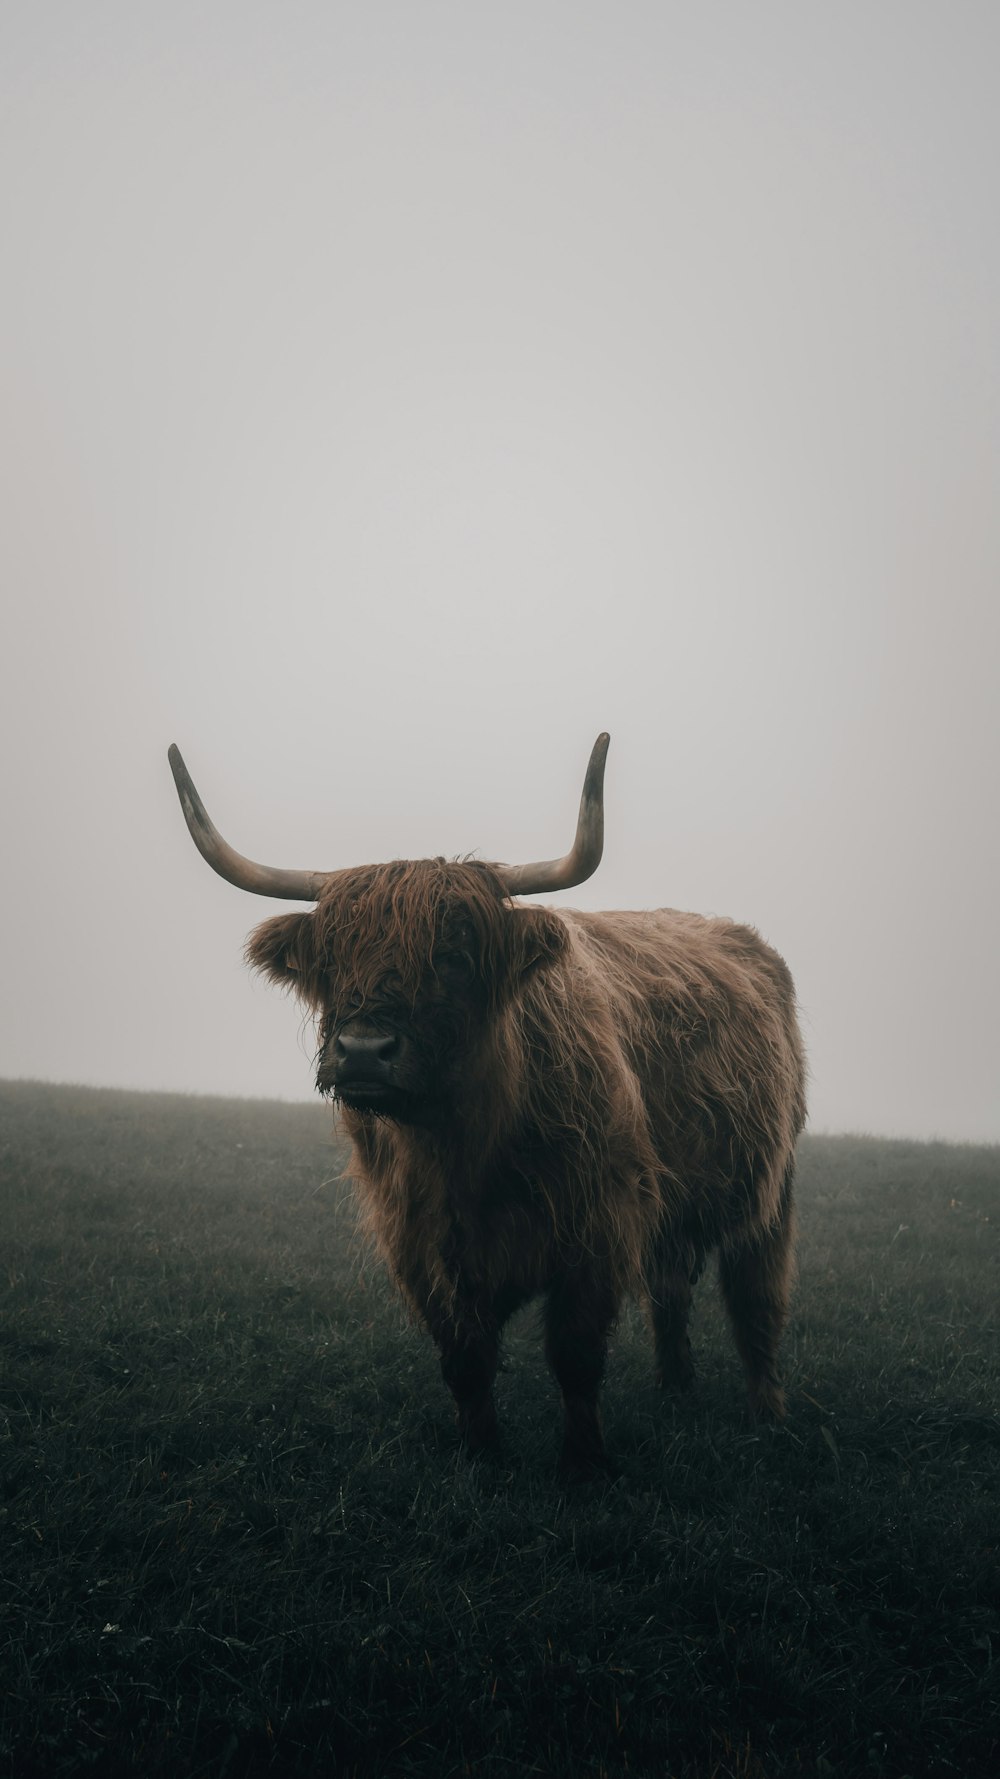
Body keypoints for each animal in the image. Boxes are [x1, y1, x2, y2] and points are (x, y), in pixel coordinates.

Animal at [165, 736, 800, 1473]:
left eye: (455, 953)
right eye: (331, 957)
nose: (362, 1051)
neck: (465, 1149)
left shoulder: (598, 1228)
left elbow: (575, 1357)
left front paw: (584, 1462)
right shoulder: (421, 1245)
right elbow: (465, 1360)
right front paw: (481, 1455)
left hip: (773, 1185)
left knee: (757, 1300)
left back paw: (767, 1413)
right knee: (671, 1289)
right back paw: (675, 1392)